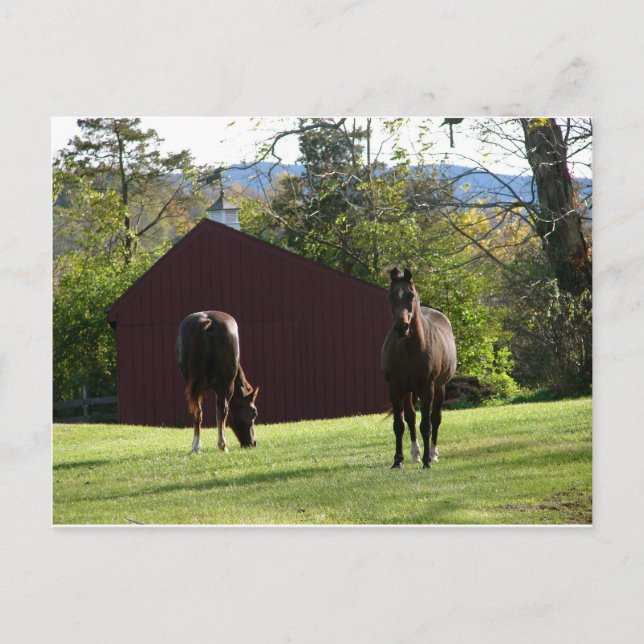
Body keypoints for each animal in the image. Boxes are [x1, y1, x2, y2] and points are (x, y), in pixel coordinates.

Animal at [176, 311, 260, 454]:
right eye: (254, 413)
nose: (253, 443)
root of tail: (207, 321)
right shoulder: (224, 387)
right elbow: (221, 413)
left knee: (197, 412)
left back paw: (196, 447)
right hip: (225, 385)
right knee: (222, 410)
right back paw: (222, 445)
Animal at [381, 267, 457, 468]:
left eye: (410, 295)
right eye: (390, 295)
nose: (401, 327)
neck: (409, 349)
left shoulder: (427, 387)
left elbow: (426, 425)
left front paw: (427, 461)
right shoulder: (395, 388)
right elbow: (399, 425)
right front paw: (398, 460)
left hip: (439, 387)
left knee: (435, 419)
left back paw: (433, 453)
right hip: (409, 391)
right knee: (411, 417)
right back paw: (415, 454)